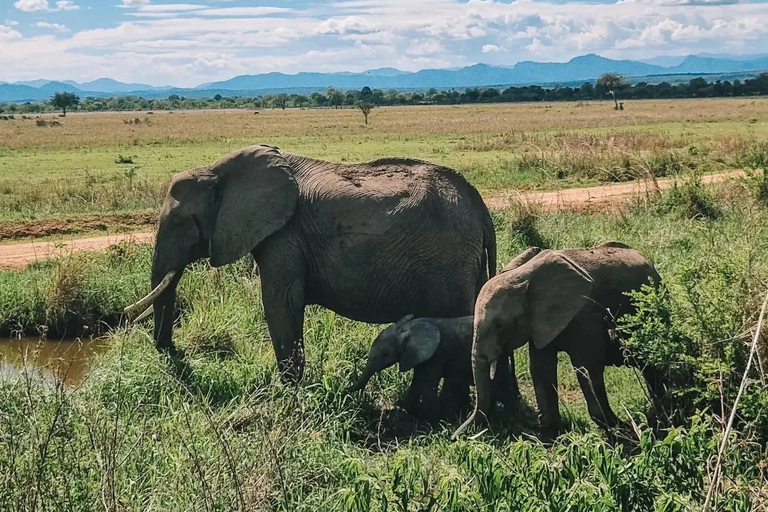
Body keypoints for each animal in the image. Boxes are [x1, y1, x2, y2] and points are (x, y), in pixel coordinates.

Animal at [123, 146, 496, 382]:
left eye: (180, 223)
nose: (169, 350)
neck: (217, 170)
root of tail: (480, 207)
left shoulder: (284, 234)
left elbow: (280, 303)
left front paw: (287, 393)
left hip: (449, 264)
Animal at [352, 312, 520, 420]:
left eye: (385, 354)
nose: (347, 391)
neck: (410, 327)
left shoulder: (436, 354)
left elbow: (426, 385)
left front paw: (432, 421)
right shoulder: (419, 356)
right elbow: (417, 383)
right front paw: (403, 412)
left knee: (502, 385)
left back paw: (509, 419)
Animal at [452, 242, 664, 438]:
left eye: (499, 325)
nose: (454, 437)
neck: (525, 277)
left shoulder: (585, 315)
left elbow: (587, 367)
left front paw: (621, 429)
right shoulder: (538, 322)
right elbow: (541, 368)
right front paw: (549, 432)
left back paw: (657, 414)